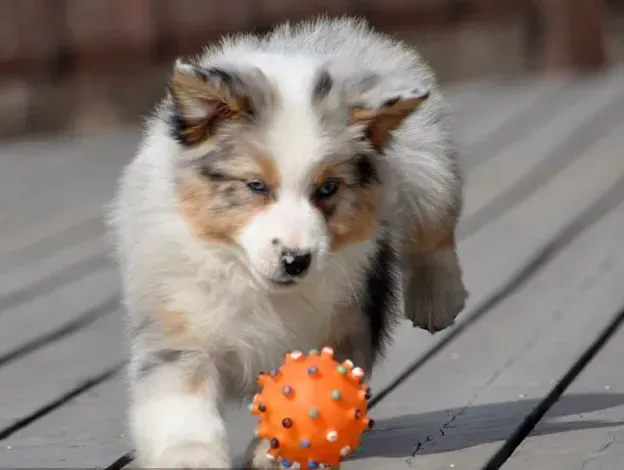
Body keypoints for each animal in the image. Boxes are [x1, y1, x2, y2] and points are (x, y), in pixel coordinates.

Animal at [108, 15, 468, 470]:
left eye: (327, 189)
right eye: (256, 186)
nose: (296, 260)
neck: (252, 283)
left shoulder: (341, 324)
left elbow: (308, 390)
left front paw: (279, 452)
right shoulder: (179, 325)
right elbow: (182, 406)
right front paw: (192, 459)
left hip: (426, 160)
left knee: (434, 227)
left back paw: (438, 302)